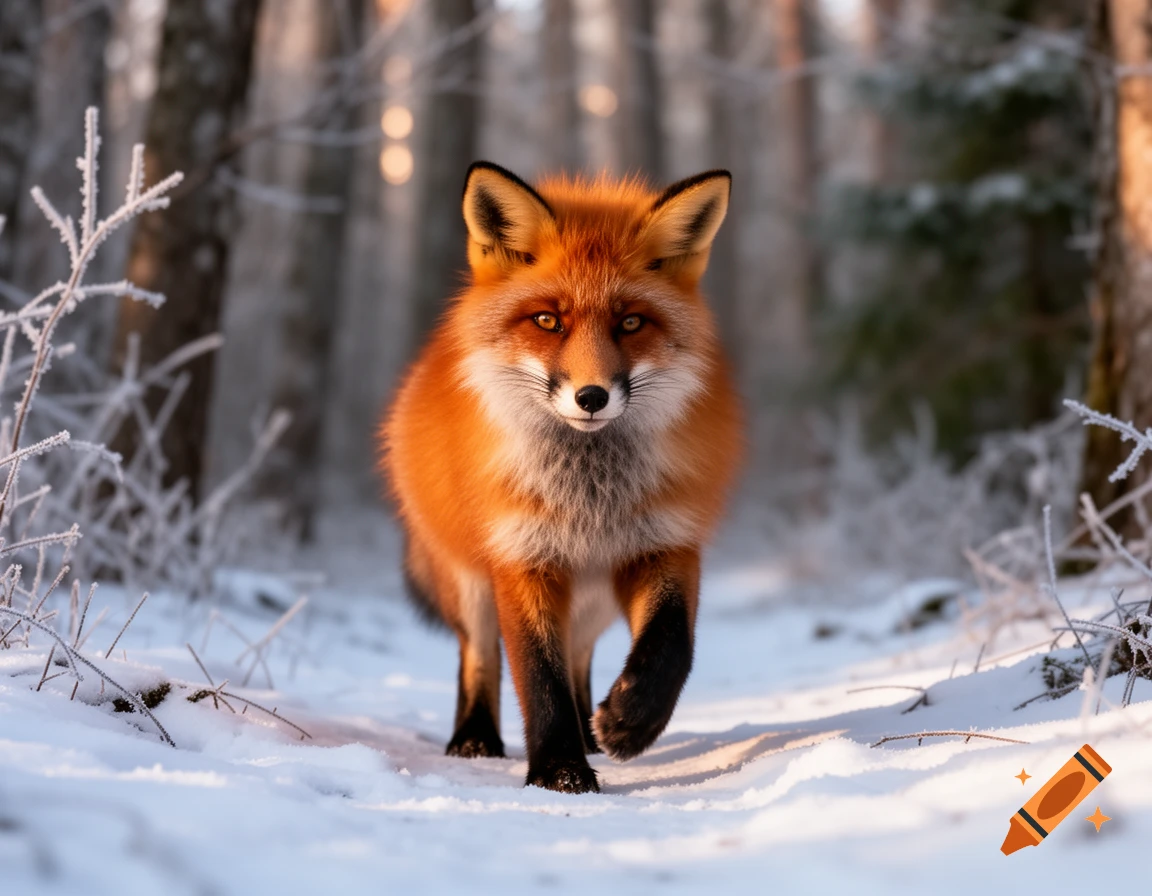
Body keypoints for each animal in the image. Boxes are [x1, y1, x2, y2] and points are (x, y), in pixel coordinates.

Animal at [380, 161, 742, 794]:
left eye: (630, 322)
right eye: (548, 320)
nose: (592, 396)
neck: (588, 499)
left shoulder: (665, 543)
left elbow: (673, 643)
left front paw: (629, 722)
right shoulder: (522, 556)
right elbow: (537, 675)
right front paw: (560, 772)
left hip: (591, 599)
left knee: (579, 659)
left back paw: (593, 732)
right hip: (470, 582)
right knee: (479, 655)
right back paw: (475, 738)